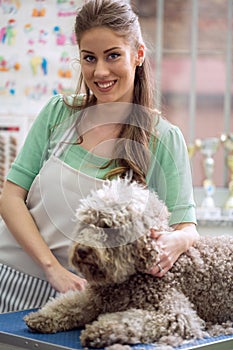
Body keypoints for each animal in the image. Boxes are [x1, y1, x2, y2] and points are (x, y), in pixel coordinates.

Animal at [24, 179, 232, 348]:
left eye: (109, 227)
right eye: (86, 223)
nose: (82, 250)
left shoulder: (176, 315)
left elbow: (132, 319)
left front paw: (99, 330)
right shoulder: (94, 298)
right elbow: (71, 304)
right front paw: (42, 316)